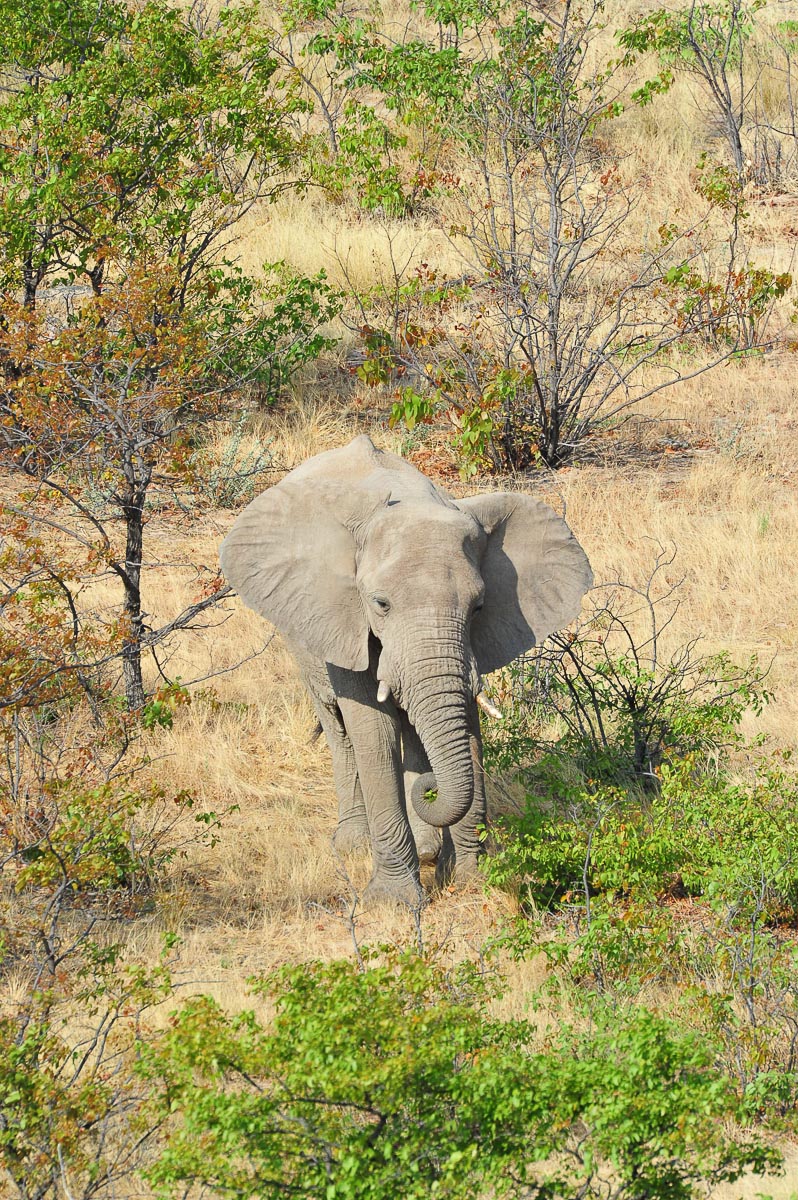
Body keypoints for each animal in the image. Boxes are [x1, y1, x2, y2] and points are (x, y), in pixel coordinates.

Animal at [219, 435, 592, 907]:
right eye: (380, 604)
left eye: (479, 607)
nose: (429, 789)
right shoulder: (344, 617)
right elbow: (372, 728)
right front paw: (394, 902)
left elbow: (466, 721)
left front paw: (471, 880)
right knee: (339, 728)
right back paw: (354, 844)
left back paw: (428, 847)